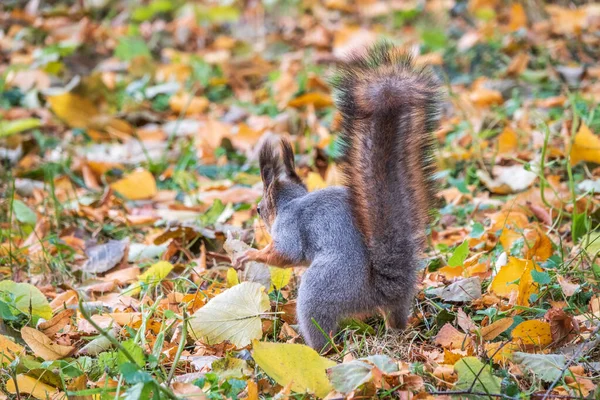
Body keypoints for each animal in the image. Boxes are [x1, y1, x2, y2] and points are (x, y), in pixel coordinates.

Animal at [236, 42, 440, 352]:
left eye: (259, 210)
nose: (256, 220)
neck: (292, 202)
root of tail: (383, 289)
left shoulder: (289, 225)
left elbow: (286, 253)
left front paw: (251, 254)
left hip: (323, 288)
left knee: (321, 331)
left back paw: (311, 347)